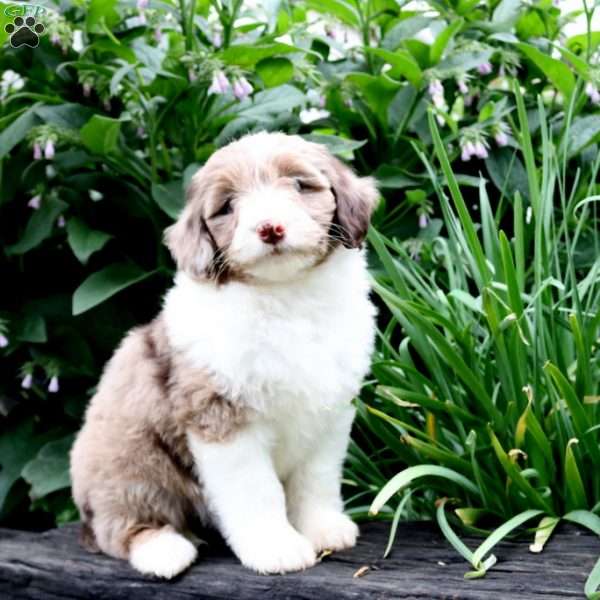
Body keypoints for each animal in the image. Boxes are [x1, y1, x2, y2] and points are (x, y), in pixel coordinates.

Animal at [70, 131, 378, 576]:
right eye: (228, 206)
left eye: (300, 185)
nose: (270, 228)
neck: (286, 296)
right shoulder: (221, 415)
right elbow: (255, 489)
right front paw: (276, 548)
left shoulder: (330, 412)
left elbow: (316, 478)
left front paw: (322, 528)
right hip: (127, 461)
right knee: (121, 523)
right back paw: (164, 550)